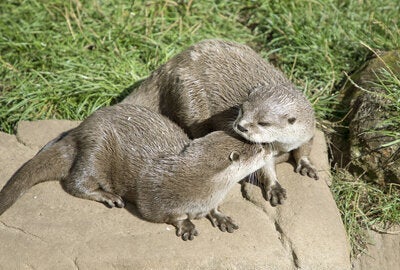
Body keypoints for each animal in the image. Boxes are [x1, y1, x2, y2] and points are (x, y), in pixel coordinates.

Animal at [122, 39, 318, 206]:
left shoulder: (308, 132)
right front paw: (274, 188)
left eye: (263, 122)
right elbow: (263, 167)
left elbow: (305, 149)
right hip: (190, 98)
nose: (240, 126)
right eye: (242, 109)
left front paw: (307, 165)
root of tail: (170, 65)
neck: (285, 144)